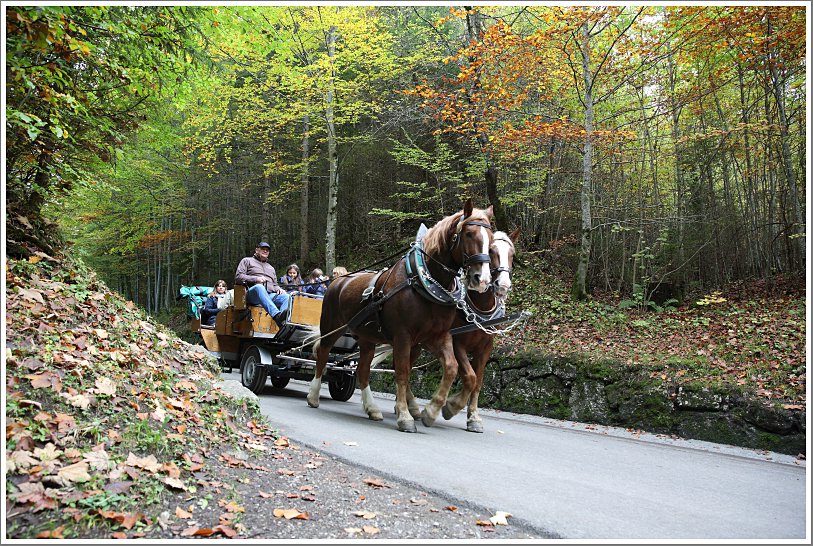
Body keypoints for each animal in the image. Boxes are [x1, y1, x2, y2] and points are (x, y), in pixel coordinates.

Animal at [308, 198, 492, 432]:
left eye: (491, 239)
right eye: (468, 234)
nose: (482, 279)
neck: (423, 281)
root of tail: (337, 280)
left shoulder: (437, 336)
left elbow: (451, 367)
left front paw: (432, 411)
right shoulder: (403, 336)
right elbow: (403, 373)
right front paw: (405, 416)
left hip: (367, 338)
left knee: (362, 370)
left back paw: (372, 409)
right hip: (332, 328)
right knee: (323, 354)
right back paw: (313, 396)